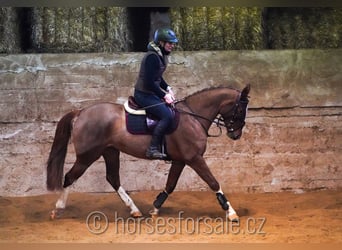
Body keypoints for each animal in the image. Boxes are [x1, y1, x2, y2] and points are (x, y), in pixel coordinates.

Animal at [46, 85, 248, 222]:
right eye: (240, 108)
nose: (236, 135)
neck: (193, 116)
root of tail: (80, 112)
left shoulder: (181, 160)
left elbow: (170, 185)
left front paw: (155, 208)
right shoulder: (194, 158)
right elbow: (213, 182)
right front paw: (231, 212)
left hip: (110, 151)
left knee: (113, 178)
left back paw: (135, 210)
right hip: (87, 156)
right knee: (70, 177)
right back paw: (58, 208)